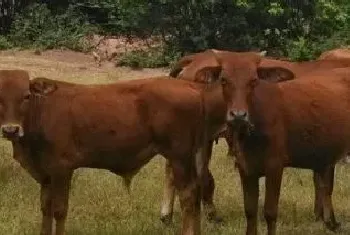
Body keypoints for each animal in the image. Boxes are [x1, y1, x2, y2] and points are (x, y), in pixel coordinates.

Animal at [0, 70, 230, 235]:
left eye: (26, 96)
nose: (10, 129)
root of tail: (191, 87)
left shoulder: (61, 169)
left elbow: (59, 210)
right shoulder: (45, 174)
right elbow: (45, 209)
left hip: (179, 156)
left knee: (188, 196)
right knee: (198, 191)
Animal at [200, 50, 350, 234]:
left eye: (254, 80)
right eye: (223, 80)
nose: (238, 115)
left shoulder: (275, 167)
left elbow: (270, 212)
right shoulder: (245, 168)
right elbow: (250, 210)